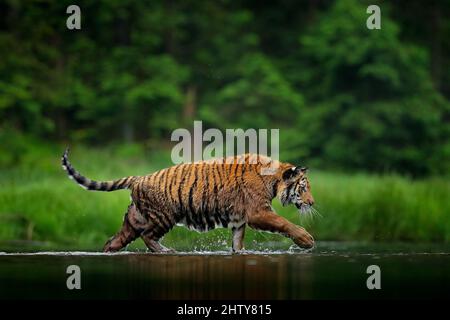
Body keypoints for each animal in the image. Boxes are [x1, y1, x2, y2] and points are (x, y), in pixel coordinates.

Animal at [61, 149, 314, 252]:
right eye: (303, 188)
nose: (312, 203)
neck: (274, 179)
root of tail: (138, 177)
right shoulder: (257, 212)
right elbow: (283, 223)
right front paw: (306, 240)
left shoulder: (240, 220)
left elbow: (238, 244)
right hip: (163, 217)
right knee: (148, 237)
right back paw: (166, 251)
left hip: (134, 220)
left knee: (113, 241)